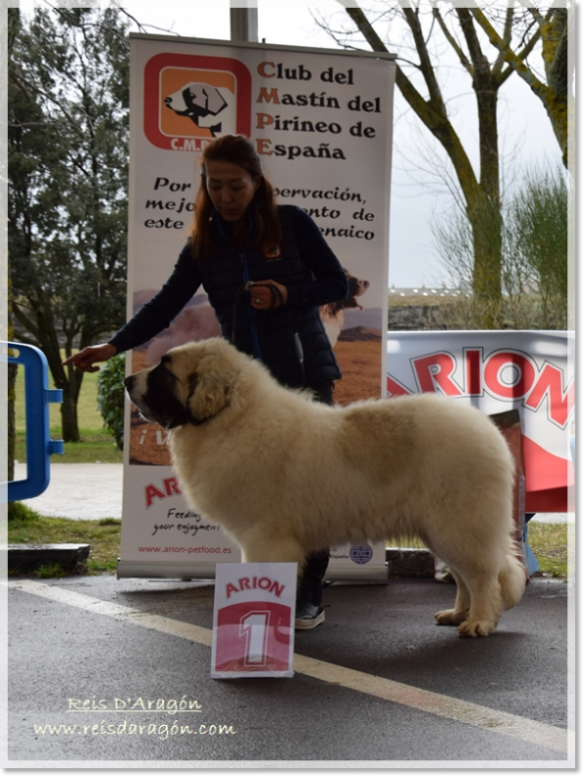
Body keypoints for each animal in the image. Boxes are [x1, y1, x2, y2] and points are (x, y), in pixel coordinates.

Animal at [124, 338, 524, 636]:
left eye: (164, 369)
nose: (127, 382)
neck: (232, 417)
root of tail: (487, 429)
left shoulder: (264, 538)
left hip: (458, 526)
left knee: (483, 576)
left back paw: (479, 622)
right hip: (441, 531)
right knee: (464, 577)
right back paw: (458, 614)